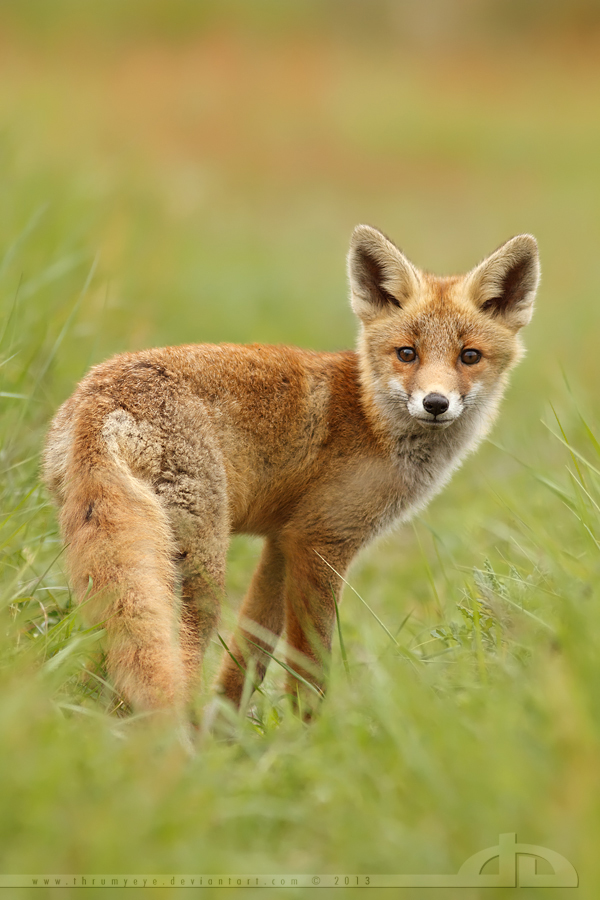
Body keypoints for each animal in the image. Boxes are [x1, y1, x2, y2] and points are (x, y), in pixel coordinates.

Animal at [42, 229, 540, 720]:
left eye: (469, 356)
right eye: (407, 354)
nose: (436, 403)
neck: (371, 420)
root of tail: (100, 397)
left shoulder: (282, 542)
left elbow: (247, 657)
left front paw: (228, 732)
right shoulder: (320, 541)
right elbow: (309, 664)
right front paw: (310, 734)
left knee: (104, 661)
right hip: (199, 571)